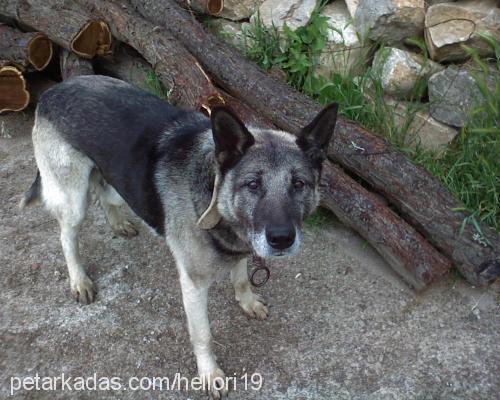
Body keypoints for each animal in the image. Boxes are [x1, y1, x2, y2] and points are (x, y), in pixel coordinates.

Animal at [21, 74, 338, 396]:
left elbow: (240, 277)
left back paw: (117, 223)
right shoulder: (193, 284)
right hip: (73, 200)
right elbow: (203, 335)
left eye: (299, 184)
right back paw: (79, 279)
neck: (213, 190)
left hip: (114, 179)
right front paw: (209, 374)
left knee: (103, 192)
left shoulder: (240, 247)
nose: (282, 239)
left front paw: (247, 301)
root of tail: (54, 90)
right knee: (67, 236)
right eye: (252, 185)